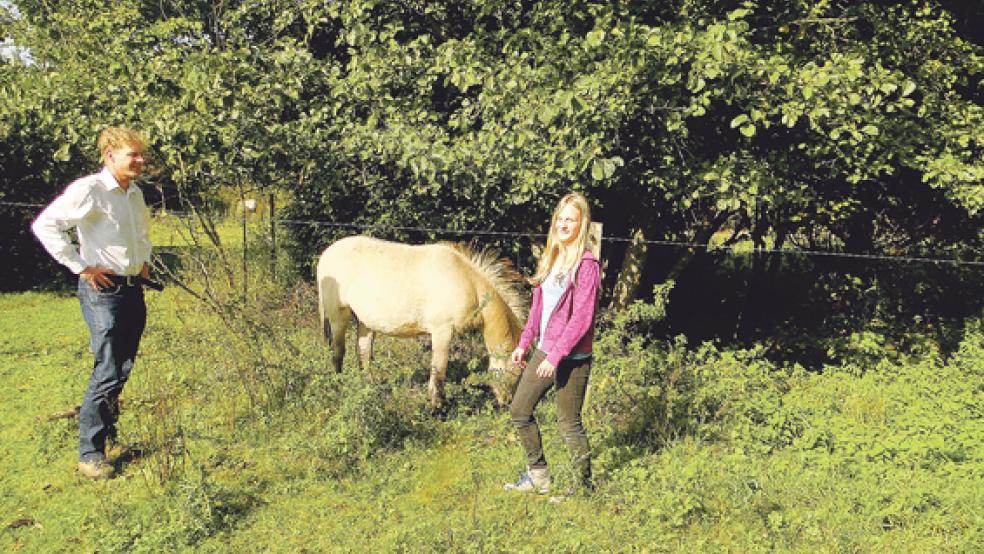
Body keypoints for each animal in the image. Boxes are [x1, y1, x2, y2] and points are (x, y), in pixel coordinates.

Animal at [320, 235, 528, 408]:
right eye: (517, 372)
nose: (506, 403)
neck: (469, 284)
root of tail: (325, 254)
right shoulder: (442, 332)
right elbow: (439, 370)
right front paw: (436, 407)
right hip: (338, 317)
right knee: (338, 353)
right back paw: (339, 387)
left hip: (365, 322)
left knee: (363, 354)